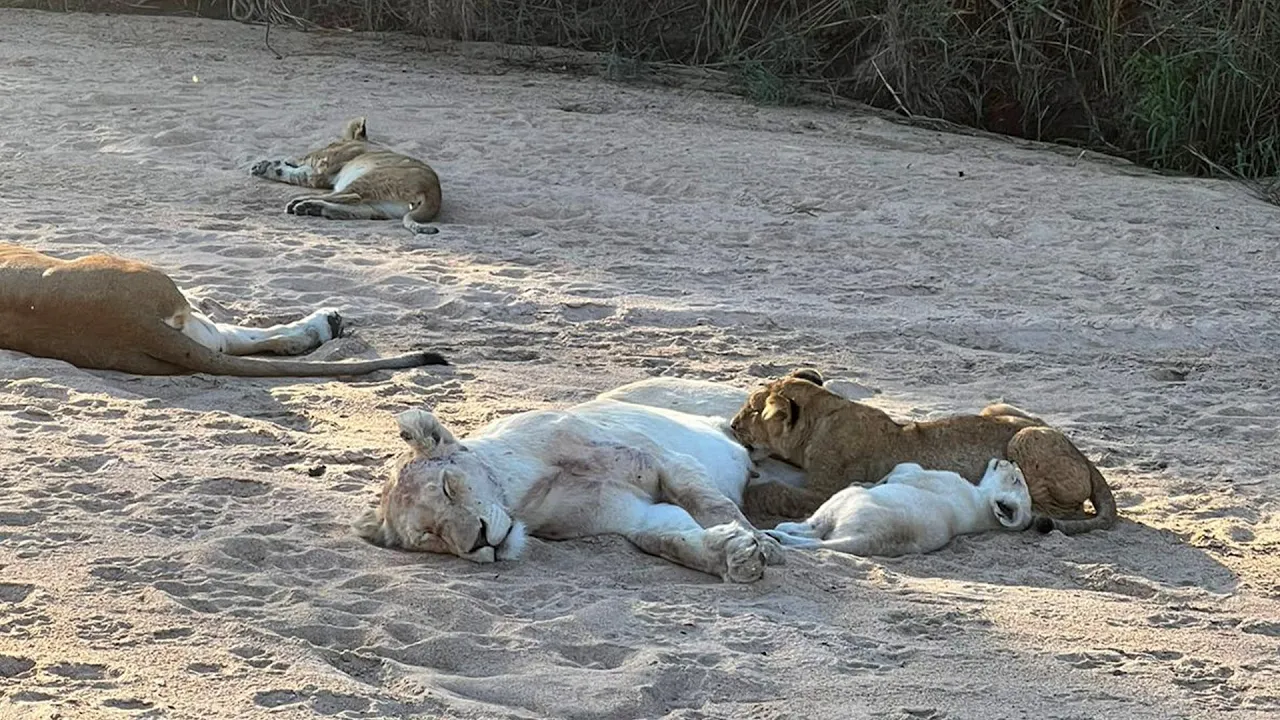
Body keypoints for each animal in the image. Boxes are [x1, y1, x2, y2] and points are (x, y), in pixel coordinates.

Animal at [737, 368, 1116, 532]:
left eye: (752, 409)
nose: (734, 425)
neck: (825, 411)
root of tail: (1082, 454)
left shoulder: (825, 488)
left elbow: (775, 491)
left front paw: (748, 496)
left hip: (1024, 439)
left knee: (1066, 510)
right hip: (997, 408)